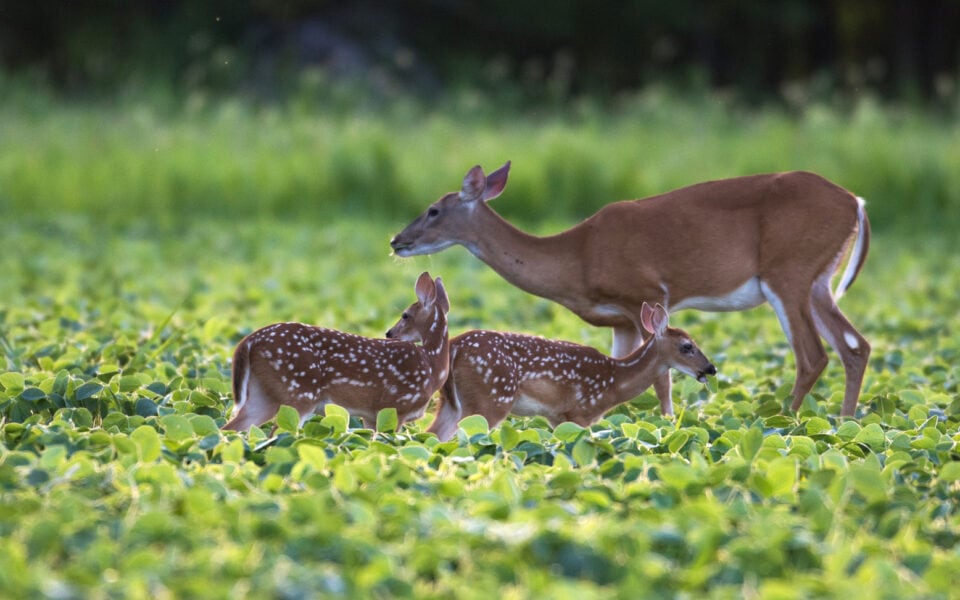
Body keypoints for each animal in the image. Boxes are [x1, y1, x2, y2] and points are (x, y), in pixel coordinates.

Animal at [223, 272, 452, 432]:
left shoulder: (373, 416)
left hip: (263, 395)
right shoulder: (396, 406)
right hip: (298, 390)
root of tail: (248, 341)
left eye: (405, 315)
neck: (432, 367)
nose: (389, 333)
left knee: (230, 429)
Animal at [390, 164, 872, 418]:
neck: (576, 257)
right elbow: (622, 370)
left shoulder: (646, 292)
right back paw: (843, 421)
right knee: (856, 346)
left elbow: (660, 378)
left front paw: (669, 422)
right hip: (819, 281)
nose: (396, 241)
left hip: (788, 272)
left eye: (433, 210)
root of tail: (857, 201)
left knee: (814, 353)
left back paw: (785, 420)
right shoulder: (619, 318)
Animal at [424, 304, 716, 440]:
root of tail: (454, 346)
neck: (614, 381)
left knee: (433, 435)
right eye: (687, 346)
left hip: (451, 401)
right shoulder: (580, 412)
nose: (710, 369)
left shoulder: (557, 417)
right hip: (490, 399)